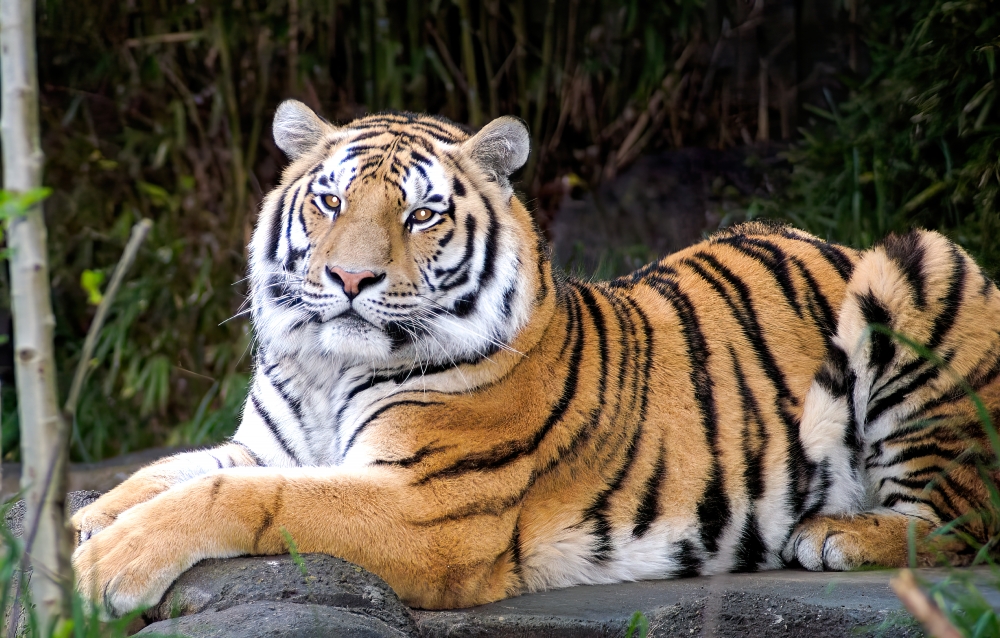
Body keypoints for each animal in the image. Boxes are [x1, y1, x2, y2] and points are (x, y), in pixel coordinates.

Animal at [72, 101, 1000, 620]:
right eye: (329, 201)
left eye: (419, 215)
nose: (348, 279)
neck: (325, 369)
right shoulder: (268, 444)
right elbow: (166, 471)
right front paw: (87, 522)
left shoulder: (429, 508)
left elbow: (237, 496)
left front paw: (103, 567)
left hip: (918, 265)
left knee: (968, 520)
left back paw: (836, 534)